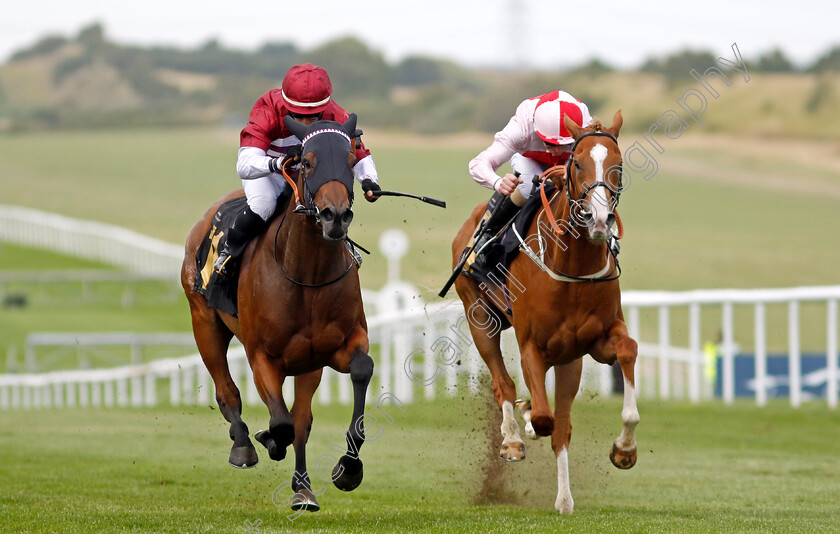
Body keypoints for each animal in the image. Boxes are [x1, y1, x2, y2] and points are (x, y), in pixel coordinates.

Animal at [181, 116, 374, 516]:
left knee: (301, 419)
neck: (307, 276)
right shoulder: (263, 357)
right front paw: (267, 438)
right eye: (308, 162)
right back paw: (243, 443)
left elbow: (359, 372)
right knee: (227, 391)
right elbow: (281, 423)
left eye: (352, 160)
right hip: (204, 323)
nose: (335, 216)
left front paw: (348, 468)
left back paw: (303, 488)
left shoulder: (338, 347)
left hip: (307, 364)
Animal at [452, 110, 636, 516]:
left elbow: (627, 351)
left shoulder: (594, 343)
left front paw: (625, 449)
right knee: (503, 383)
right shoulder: (531, 346)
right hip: (479, 317)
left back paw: (564, 500)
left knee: (560, 427)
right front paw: (525, 425)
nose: (600, 220)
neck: (572, 267)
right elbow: (541, 416)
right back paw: (512, 439)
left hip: (568, 360)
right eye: (577, 162)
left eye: (617, 165)